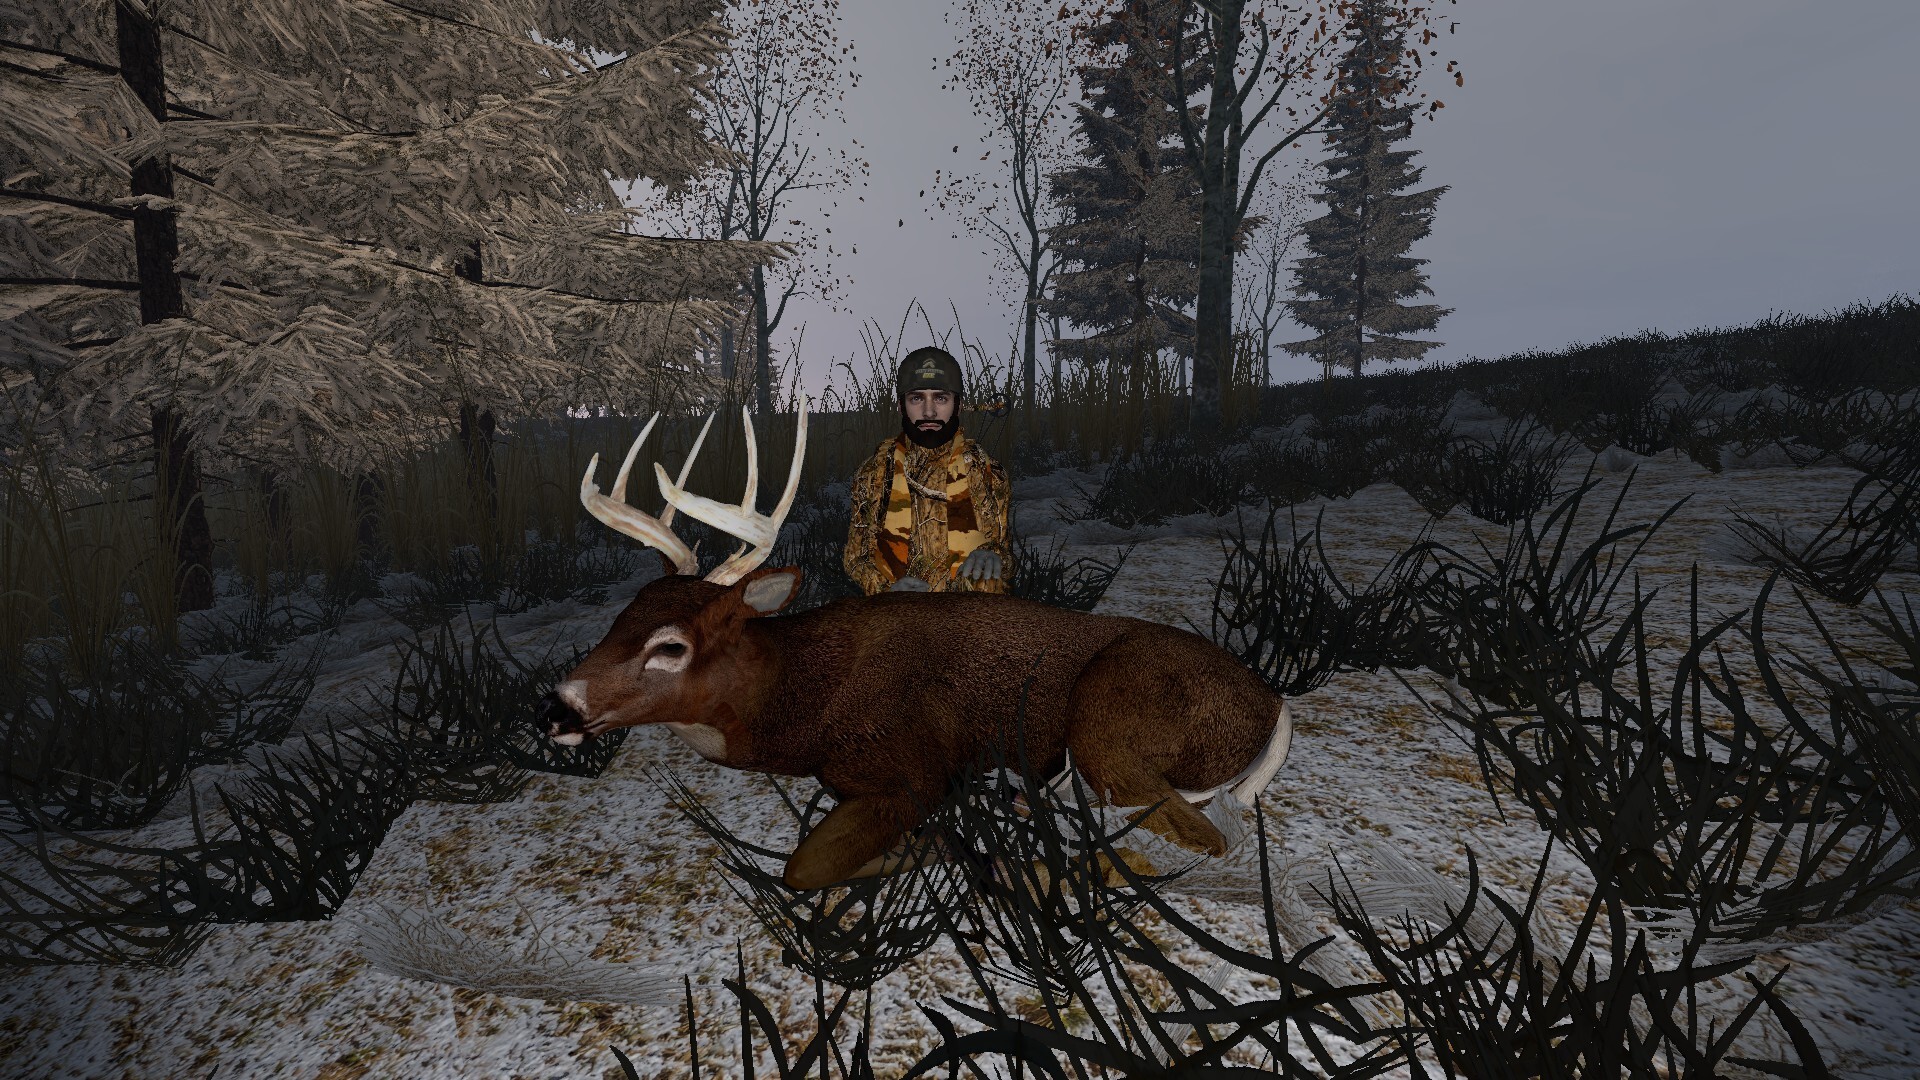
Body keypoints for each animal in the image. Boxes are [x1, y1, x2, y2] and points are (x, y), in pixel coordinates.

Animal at [538, 399, 1293, 891]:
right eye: (620, 618)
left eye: (671, 646)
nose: (558, 709)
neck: (805, 702)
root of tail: (1273, 702)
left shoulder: (909, 769)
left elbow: (804, 867)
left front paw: (951, 848)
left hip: (1107, 725)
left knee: (1205, 837)